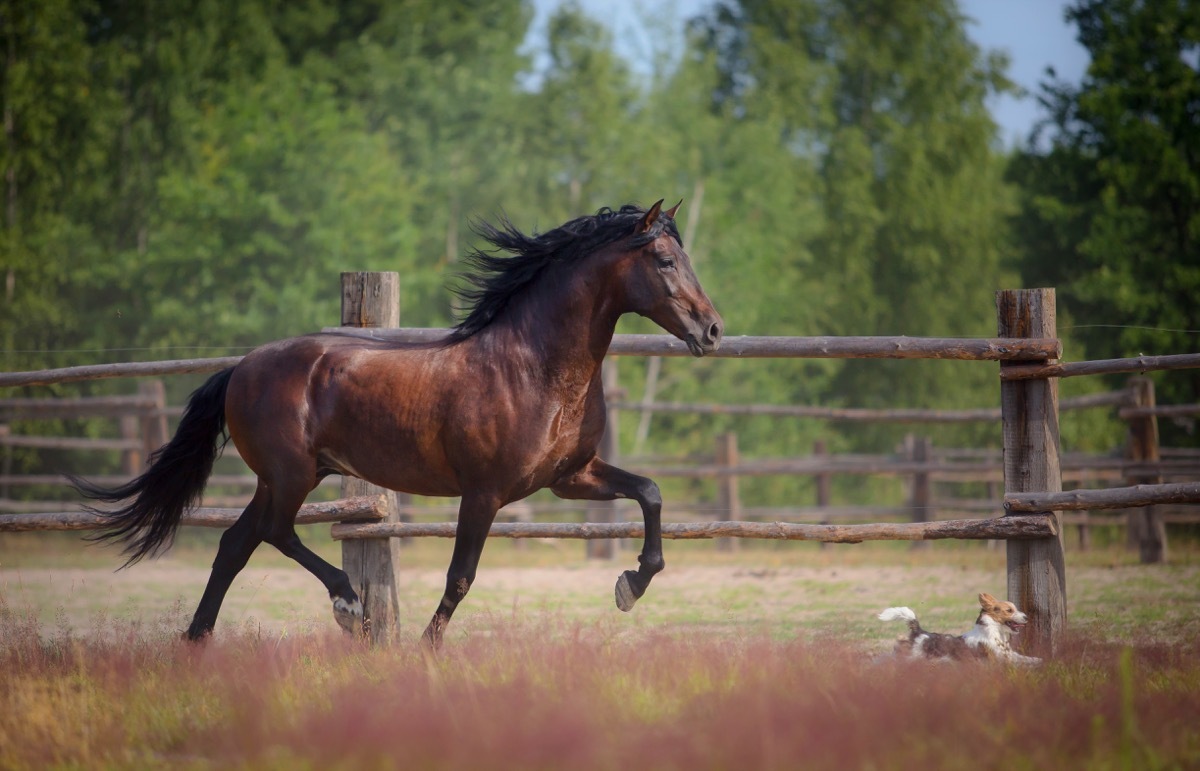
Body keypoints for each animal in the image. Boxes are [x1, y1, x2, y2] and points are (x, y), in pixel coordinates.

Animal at [79, 198, 724, 643]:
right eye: (666, 260)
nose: (713, 331)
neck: (535, 368)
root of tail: (241, 367)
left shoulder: (570, 477)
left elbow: (650, 492)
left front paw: (630, 586)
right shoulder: (484, 492)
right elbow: (460, 575)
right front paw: (425, 648)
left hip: (285, 476)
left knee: (237, 543)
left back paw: (198, 639)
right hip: (290, 475)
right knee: (276, 533)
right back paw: (350, 607)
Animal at [878, 590, 1046, 662]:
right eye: (1009, 610)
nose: (1026, 617)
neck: (993, 632)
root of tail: (919, 631)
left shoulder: (1009, 654)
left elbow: (1027, 659)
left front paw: (1041, 661)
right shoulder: (1002, 658)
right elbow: (1023, 662)